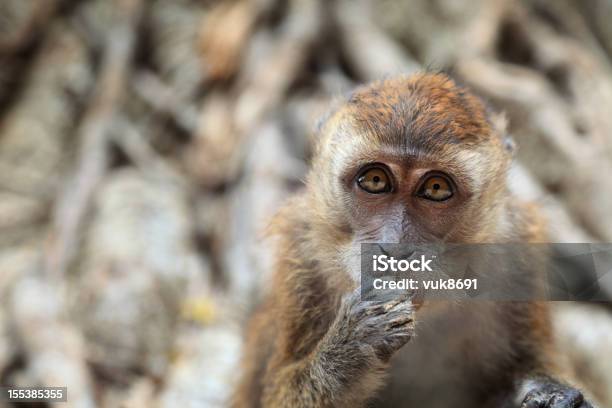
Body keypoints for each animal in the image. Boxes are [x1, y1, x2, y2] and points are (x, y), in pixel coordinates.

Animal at [232, 74, 596, 408]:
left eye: (436, 188)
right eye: (375, 180)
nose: (394, 249)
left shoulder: (518, 251)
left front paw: (550, 394)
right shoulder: (303, 255)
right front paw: (355, 344)